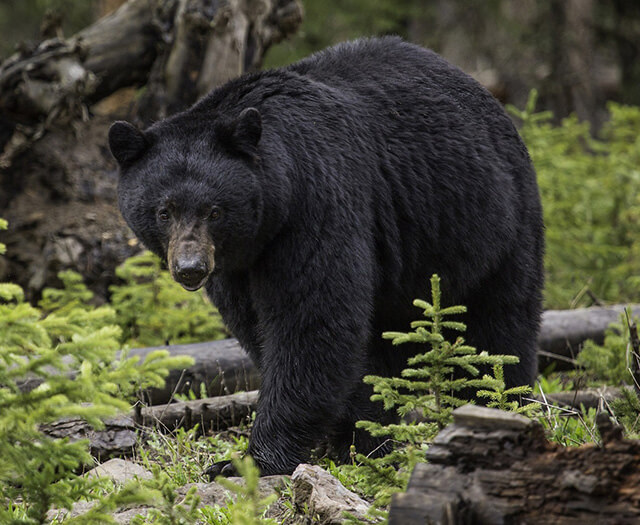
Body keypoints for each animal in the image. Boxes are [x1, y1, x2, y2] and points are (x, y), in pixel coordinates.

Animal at [110, 36, 544, 474]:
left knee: (500, 326)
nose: (190, 268)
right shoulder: (237, 265)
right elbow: (259, 326)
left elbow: (312, 321)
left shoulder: (316, 202)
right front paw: (352, 436)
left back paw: (498, 406)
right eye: (163, 211)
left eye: (214, 210)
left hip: (493, 224)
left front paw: (251, 460)